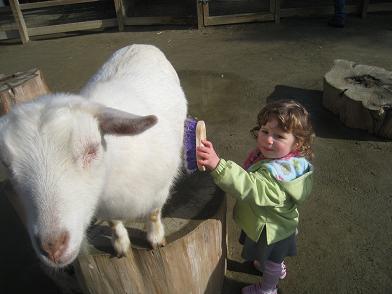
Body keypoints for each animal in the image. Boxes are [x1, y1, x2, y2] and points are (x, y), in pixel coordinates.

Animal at [0, 44, 188, 268]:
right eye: (6, 164)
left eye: (92, 149)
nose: (52, 246)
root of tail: (141, 45)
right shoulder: (105, 208)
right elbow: (113, 222)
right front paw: (121, 246)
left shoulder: (159, 190)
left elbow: (153, 214)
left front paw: (156, 238)